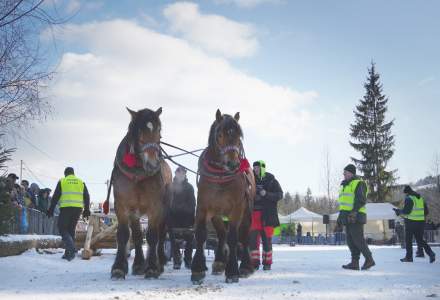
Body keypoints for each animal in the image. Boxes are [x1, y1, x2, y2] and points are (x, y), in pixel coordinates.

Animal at [109, 107, 172, 278]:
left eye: (159, 130)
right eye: (139, 130)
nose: (153, 163)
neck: (138, 174)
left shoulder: (156, 207)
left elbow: (152, 236)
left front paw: (152, 267)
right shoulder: (123, 206)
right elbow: (125, 235)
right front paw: (119, 267)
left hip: (164, 212)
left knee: (160, 235)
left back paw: (159, 261)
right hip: (135, 213)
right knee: (137, 235)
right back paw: (138, 264)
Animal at [191, 108, 256, 284]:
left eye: (239, 136)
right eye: (220, 135)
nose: (232, 164)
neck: (220, 176)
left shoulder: (237, 208)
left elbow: (234, 237)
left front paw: (233, 271)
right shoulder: (203, 207)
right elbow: (201, 234)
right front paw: (198, 270)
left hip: (246, 212)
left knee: (244, 236)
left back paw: (245, 266)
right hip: (217, 214)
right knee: (221, 234)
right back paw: (219, 262)